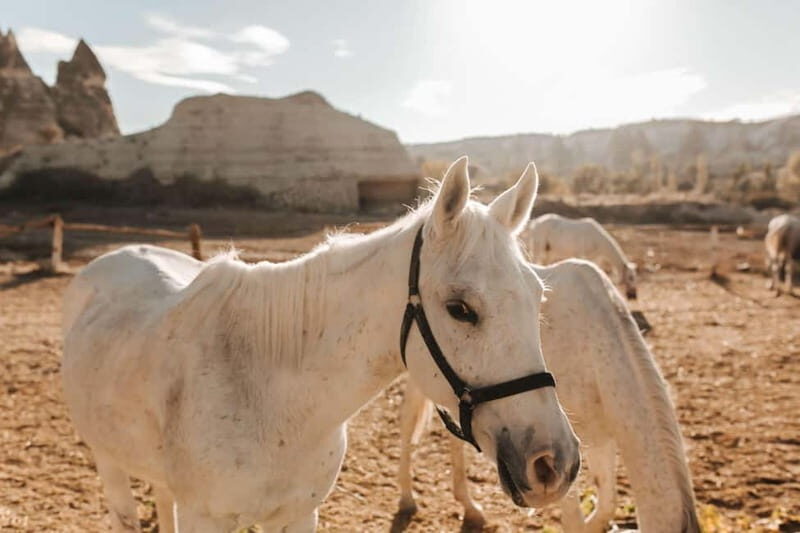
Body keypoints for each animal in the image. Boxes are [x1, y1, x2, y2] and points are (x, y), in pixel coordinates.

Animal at [61, 157, 580, 532]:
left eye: (537, 296)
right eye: (460, 308)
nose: (554, 463)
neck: (272, 397)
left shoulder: (298, 515)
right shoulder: (204, 518)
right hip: (109, 462)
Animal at [398, 259, 699, 533]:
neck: (593, 346)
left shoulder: (600, 439)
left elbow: (606, 506)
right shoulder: (559, 465)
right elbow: (576, 520)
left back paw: (471, 509)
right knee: (408, 428)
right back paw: (407, 501)